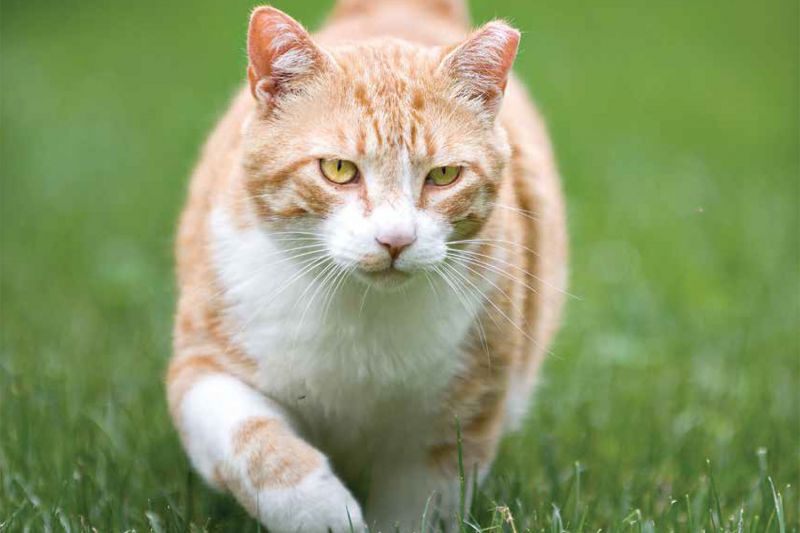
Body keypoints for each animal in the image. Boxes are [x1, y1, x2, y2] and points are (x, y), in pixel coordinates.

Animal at [167, 1, 568, 528]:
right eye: (338, 169)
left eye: (444, 175)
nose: (395, 239)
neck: (359, 311)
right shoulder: (204, 363)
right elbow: (252, 443)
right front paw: (321, 513)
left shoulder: (457, 419)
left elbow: (418, 509)